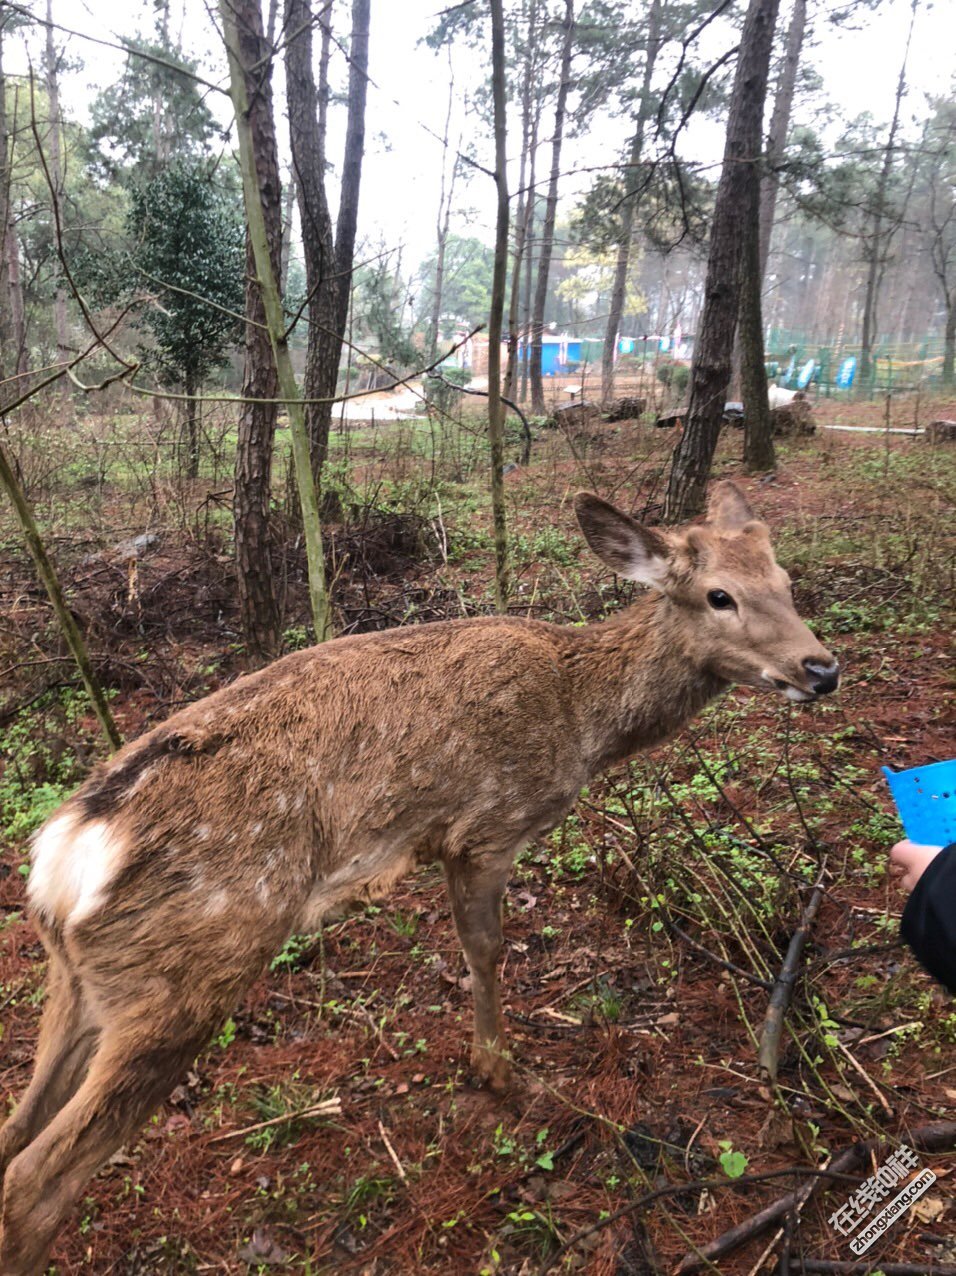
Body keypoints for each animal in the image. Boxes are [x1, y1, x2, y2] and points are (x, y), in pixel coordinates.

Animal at [0, 479, 837, 1265]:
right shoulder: (486, 827)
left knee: (16, 1127)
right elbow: (485, 950)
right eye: (718, 595)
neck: (582, 717)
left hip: (83, 982)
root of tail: (69, 853)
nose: (822, 667)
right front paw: (501, 1073)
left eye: (786, 579)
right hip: (185, 979)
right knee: (31, 1185)